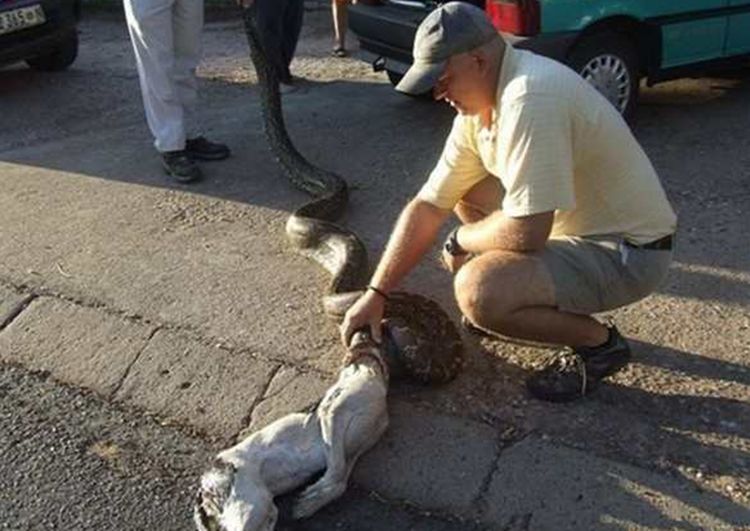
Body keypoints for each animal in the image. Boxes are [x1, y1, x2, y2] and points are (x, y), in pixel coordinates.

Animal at [194, 332, 390, 531]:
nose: (362, 333)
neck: (367, 372)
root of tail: (204, 486)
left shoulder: (355, 450)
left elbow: (341, 479)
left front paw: (313, 501)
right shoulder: (332, 414)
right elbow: (336, 474)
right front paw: (310, 500)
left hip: (264, 509)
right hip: (250, 507)